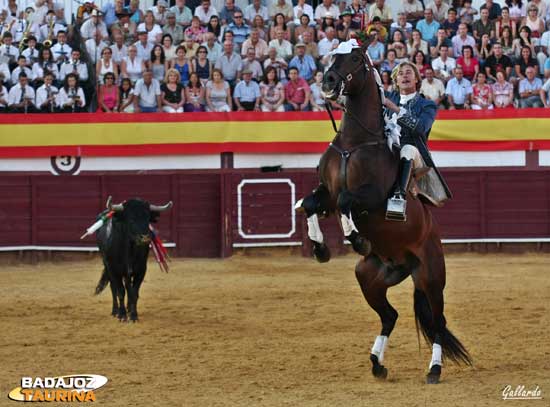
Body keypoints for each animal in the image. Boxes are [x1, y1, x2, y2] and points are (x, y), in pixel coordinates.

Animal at [298, 41, 474, 386]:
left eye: (355, 58)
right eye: (333, 56)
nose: (328, 82)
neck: (355, 142)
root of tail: (402, 263)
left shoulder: (370, 196)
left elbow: (347, 200)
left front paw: (356, 237)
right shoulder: (326, 192)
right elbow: (311, 203)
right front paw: (321, 248)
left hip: (432, 276)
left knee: (438, 321)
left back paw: (434, 369)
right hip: (368, 277)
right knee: (390, 315)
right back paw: (377, 364)